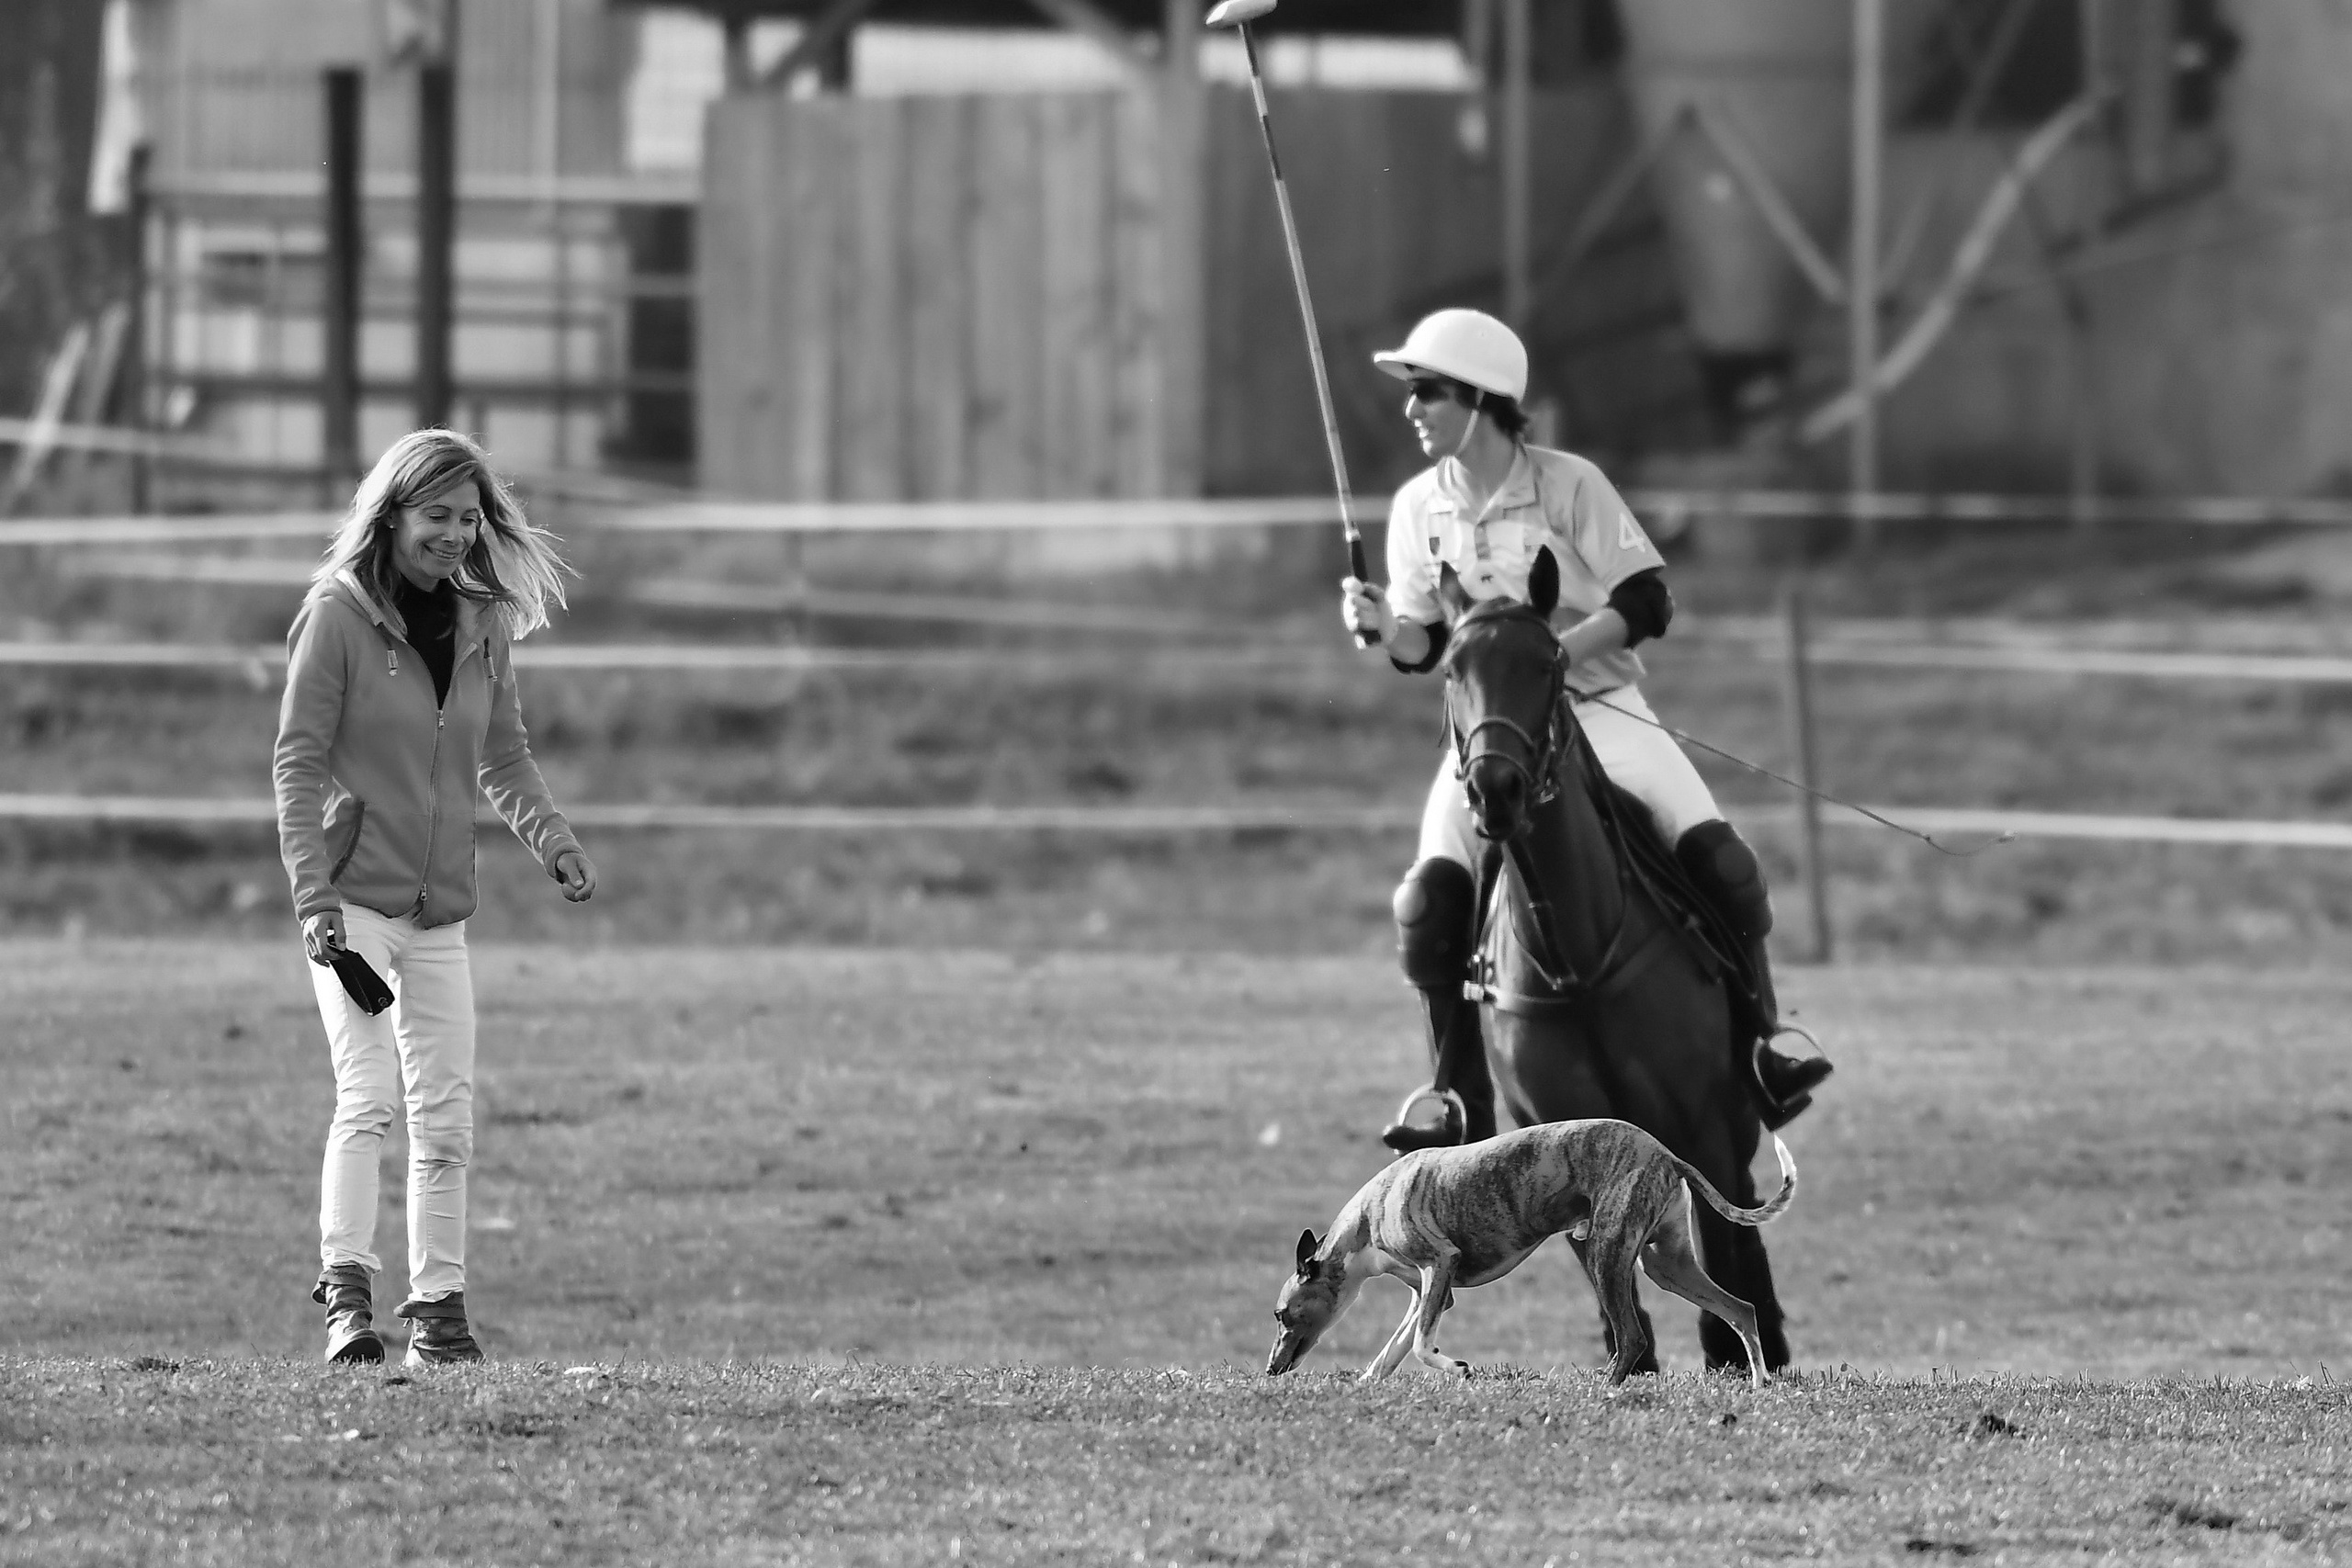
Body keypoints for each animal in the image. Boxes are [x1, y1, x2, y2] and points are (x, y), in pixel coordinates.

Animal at [1435, 549, 1792, 1376]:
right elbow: (1612, 1288)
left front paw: (1737, 1359)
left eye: (1550, 662)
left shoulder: (1700, 1120)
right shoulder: (1554, 1139)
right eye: (1451, 668)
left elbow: (1724, 1247)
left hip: (1731, 1116)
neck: (1576, 962)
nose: (1494, 789)